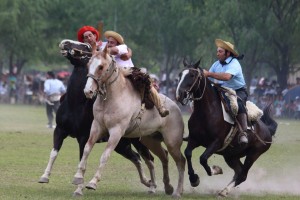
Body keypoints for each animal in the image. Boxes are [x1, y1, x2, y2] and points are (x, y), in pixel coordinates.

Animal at [38, 39, 156, 195]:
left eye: (86, 46)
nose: (65, 42)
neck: (76, 103)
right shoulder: (60, 130)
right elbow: (54, 153)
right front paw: (45, 176)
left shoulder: (83, 137)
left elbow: (82, 158)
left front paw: (79, 188)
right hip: (122, 145)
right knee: (136, 158)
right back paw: (147, 182)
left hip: (138, 141)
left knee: (149, 159)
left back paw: (152, 186)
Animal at [72, 48, 186, 198]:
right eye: (88, 64)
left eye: (101, 67)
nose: (88, 91)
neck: (112, 99)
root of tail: (176, 107)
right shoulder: (96, 127)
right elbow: (86, 149)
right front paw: (78, 178)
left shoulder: (116, 131)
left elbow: (105, 155)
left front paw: (93, 182)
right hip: (150, 140)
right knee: (163, 157)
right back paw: (167, 187)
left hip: (172, 142)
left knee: (180, 162)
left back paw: (178, 191)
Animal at [175, 59, 278, 197]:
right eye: (180, 74)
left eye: (192, 75)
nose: (179, 95)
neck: (206, 112)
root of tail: (267, 130)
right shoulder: (194, 139)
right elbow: (188, 153)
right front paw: (194, 179)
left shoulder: (216, 143)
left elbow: (203, 159)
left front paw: (215, 170)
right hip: (231, 155)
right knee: (238, 172)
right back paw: (224, 189)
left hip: (253, 154)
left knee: (243, 174)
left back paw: (225, 191)